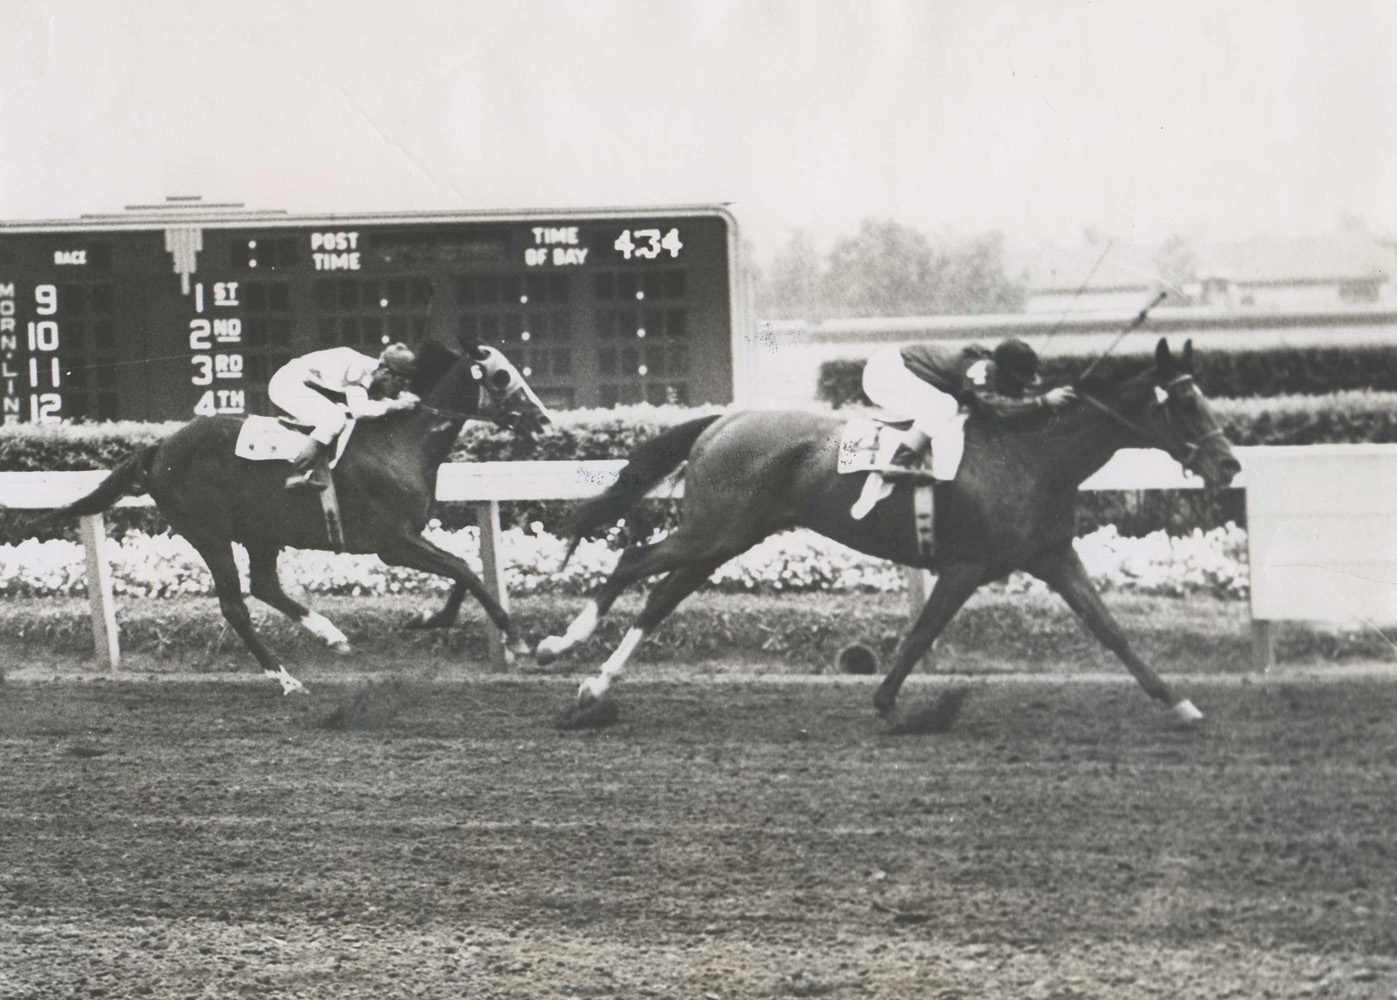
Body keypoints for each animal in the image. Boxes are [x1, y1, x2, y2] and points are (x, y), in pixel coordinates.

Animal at [45, 339, 544, 692]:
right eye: (502, 377)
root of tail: (160, 447)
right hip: (208, 533)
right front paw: (518, 642)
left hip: (261, 531)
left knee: (265, 585)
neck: (400, 442)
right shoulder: (392, 543)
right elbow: (464, 569)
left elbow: (465, 570)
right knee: (236, 605)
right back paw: (285, 678)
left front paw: (429, 619)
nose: (542, 420)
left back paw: (331, 635)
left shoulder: (409, 538)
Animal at [539, 339, 1240, 720]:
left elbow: (1111, 631)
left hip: (731, 537)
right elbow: (924, 631)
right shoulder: (965, 566)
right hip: (714, 531)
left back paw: (597, 682)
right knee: (633, 560)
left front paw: (1180, 703)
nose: (1230, 465)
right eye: (1184, 402)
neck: (1033, 455)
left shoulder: (1053, 556)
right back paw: (559, 644)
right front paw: (884, 700)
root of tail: (721, 420)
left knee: (662, 593)